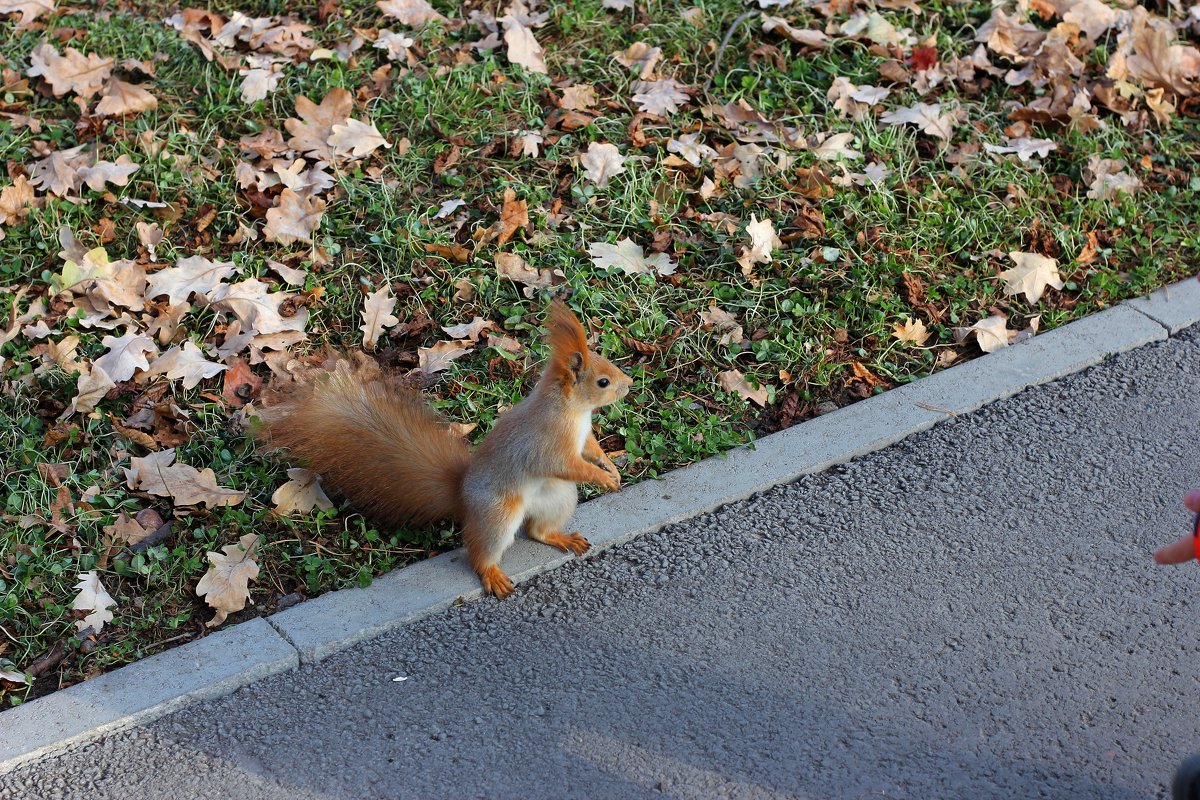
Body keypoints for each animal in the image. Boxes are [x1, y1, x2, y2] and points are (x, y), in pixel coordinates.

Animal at [258, 297, 633, 597]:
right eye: (603, 381)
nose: (629, 384)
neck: (573, 411)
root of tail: (462, 495)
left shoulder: (583, 437)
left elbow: (591, 451)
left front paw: (610, 468)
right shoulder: (547, 442)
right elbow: (567, 464)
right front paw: (602, 477)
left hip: (559, 498)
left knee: (538, 530)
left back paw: (562, 538)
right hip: (499, 513)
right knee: (482, 551)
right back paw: (492, 574)